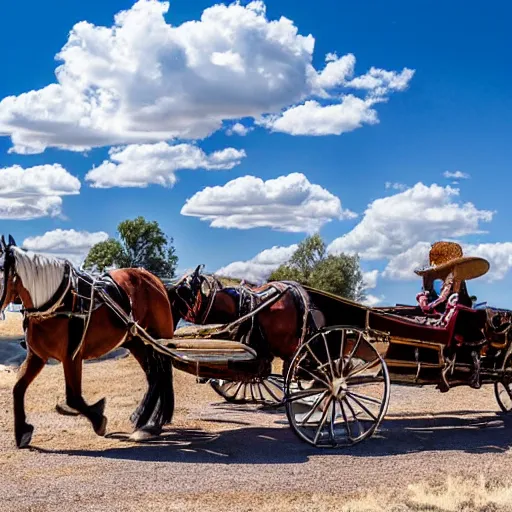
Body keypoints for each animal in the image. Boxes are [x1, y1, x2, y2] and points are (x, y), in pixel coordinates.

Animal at [0, 236, 178, 448]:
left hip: (157, 338)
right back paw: (144, 418)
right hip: (137, 341)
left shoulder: (72, 356)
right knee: (154, 376)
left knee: (161, 374)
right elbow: (18, 388)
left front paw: (98, 419)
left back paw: (150, 424)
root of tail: (154, 280)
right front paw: (22, 431)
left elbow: (73, 398)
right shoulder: (37, 356)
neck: (56, 302)